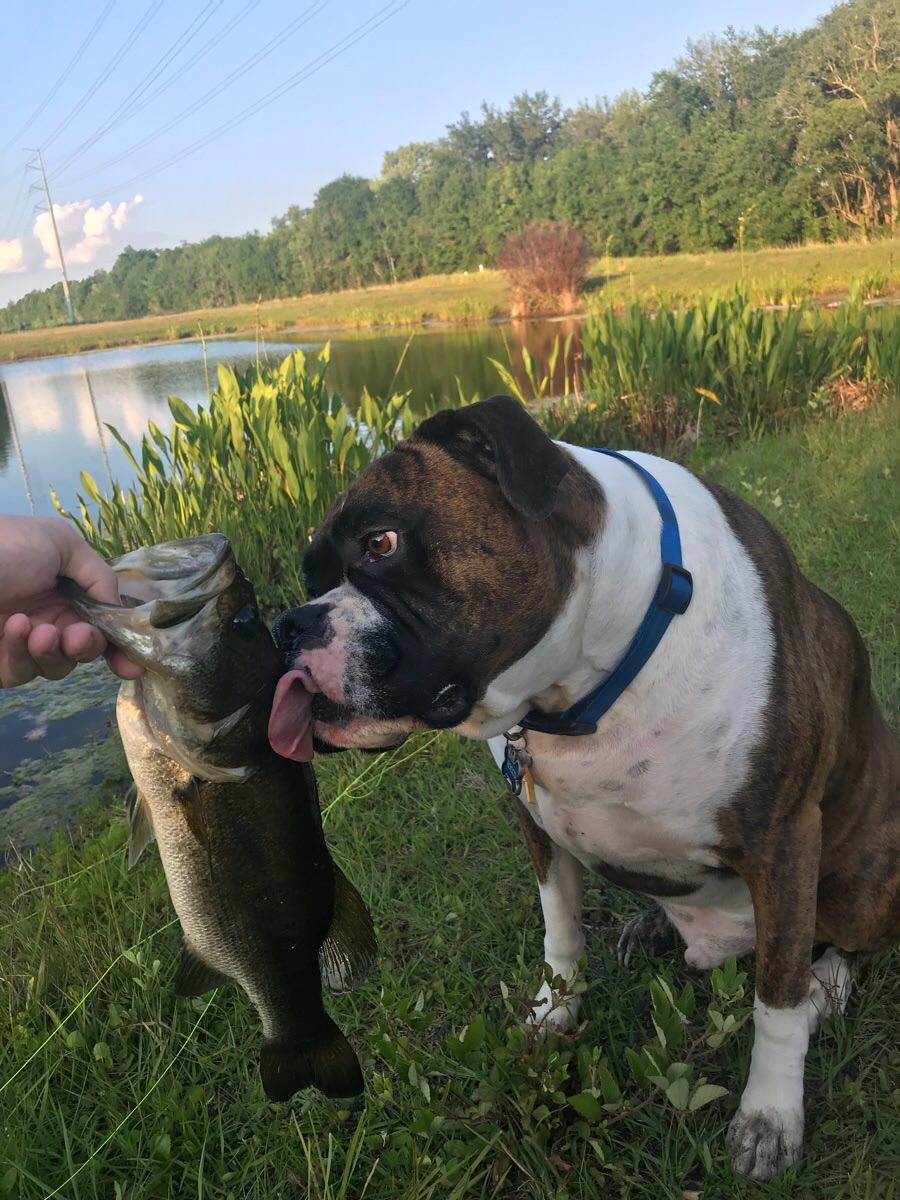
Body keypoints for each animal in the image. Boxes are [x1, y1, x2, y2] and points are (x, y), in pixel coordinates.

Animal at [270, 396, 900, 1180]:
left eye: (381, 542)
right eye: (309, 577)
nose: (285, 626)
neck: (589, 676)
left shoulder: (784, 841)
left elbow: (776, 1003)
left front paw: (769, 1115)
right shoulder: (540, 828)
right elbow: (561, 932)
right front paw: (555, 1013)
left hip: (859, 880)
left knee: (845, 948)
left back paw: (827, 988)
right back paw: (654, 924)